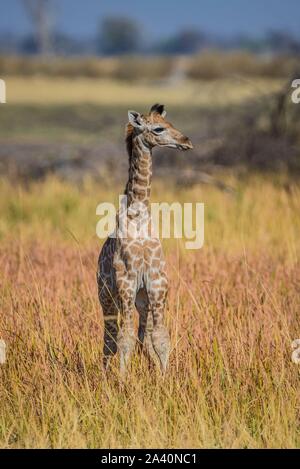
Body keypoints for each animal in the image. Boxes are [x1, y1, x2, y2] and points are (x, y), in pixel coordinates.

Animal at [97, 104, 193, 374]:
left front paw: (164, 379)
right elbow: (124, 338)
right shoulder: (127, 282)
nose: (186, 141)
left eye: (170, 123)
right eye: (158, 128)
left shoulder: (156, 283)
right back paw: (106, 375)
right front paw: (122, 380)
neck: (138, 215)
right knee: (110, 337)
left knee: (143, 335)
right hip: (107, 297)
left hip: (143, 301)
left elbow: (159, 337)